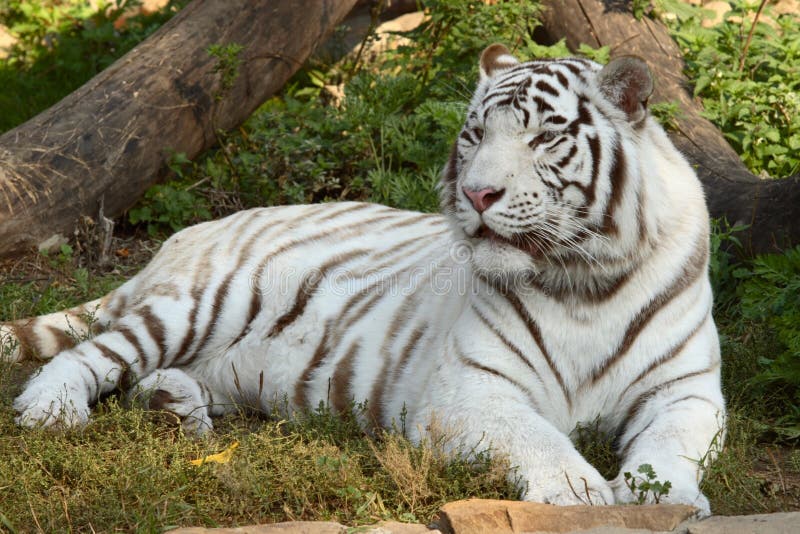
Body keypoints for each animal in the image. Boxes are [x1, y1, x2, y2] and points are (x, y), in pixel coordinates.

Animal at [1, 47, 724, 520]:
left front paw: (663, 498)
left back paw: (172, 407)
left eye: (545, 136)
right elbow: (537, 437)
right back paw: (51, 409)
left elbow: (673, 443)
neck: (582, 282)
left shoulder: (685, 390)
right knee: (91, 353)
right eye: (474, 134)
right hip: (204, 301)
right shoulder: (471, 390)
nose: (477, 193)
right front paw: (578, 494)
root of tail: (184, 236)